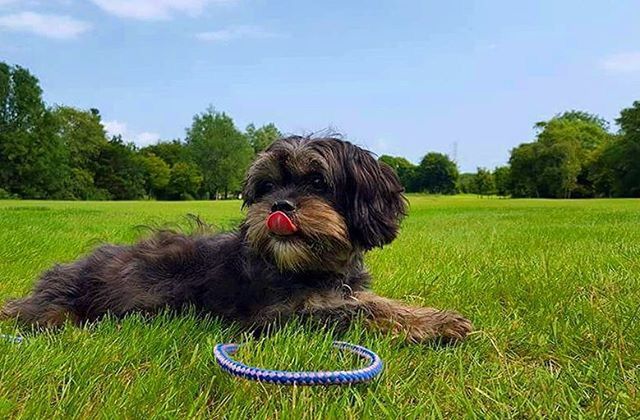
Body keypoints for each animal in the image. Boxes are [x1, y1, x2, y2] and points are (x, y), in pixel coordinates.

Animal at [0, 136, 470, 342]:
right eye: (265, 187)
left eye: (318, 181)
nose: (279, 205)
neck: (308, 268)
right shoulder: (270, 319)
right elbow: (354, 312)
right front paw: (432, 325)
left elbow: (372, 302)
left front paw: (429, 316)